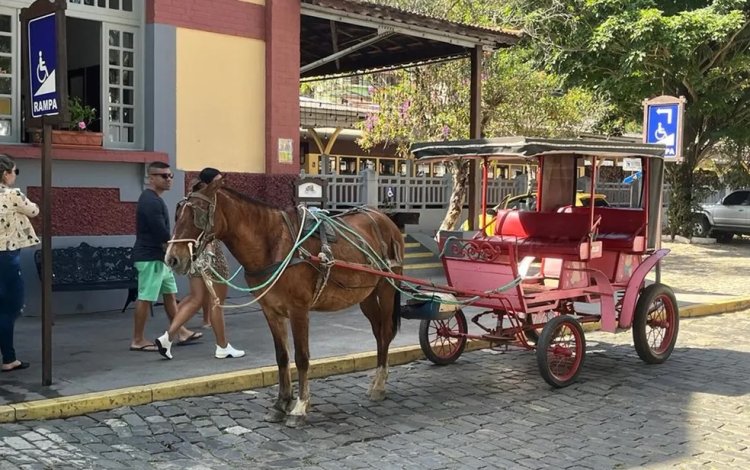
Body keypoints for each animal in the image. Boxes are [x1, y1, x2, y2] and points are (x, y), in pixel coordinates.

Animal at [166, 180, 406, 426]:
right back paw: (376, 379)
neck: (273, 243)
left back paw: (379, 385)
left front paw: (300, 407)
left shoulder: (298, 310)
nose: (172, 258)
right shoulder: (271, 311)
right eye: (177, 213)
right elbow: (281, 356)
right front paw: (280, 404)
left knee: (385, 332)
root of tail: (384, 217)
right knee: (378, 333)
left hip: (387, 287)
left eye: (197, 213)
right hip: (365, 295)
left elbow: (301, 357)